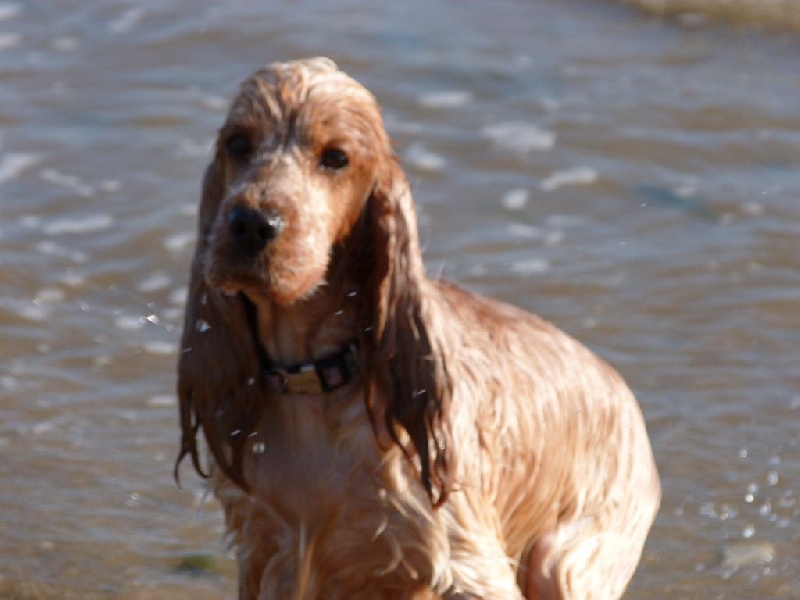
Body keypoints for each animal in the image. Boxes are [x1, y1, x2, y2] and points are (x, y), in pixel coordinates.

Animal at [173, 57, 656, 600]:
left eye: (336, 157)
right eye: (238, 143)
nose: (252, 223)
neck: (312, 380)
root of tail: (621, 388)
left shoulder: (465, 565)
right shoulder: (266, 547)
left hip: (565, 561)